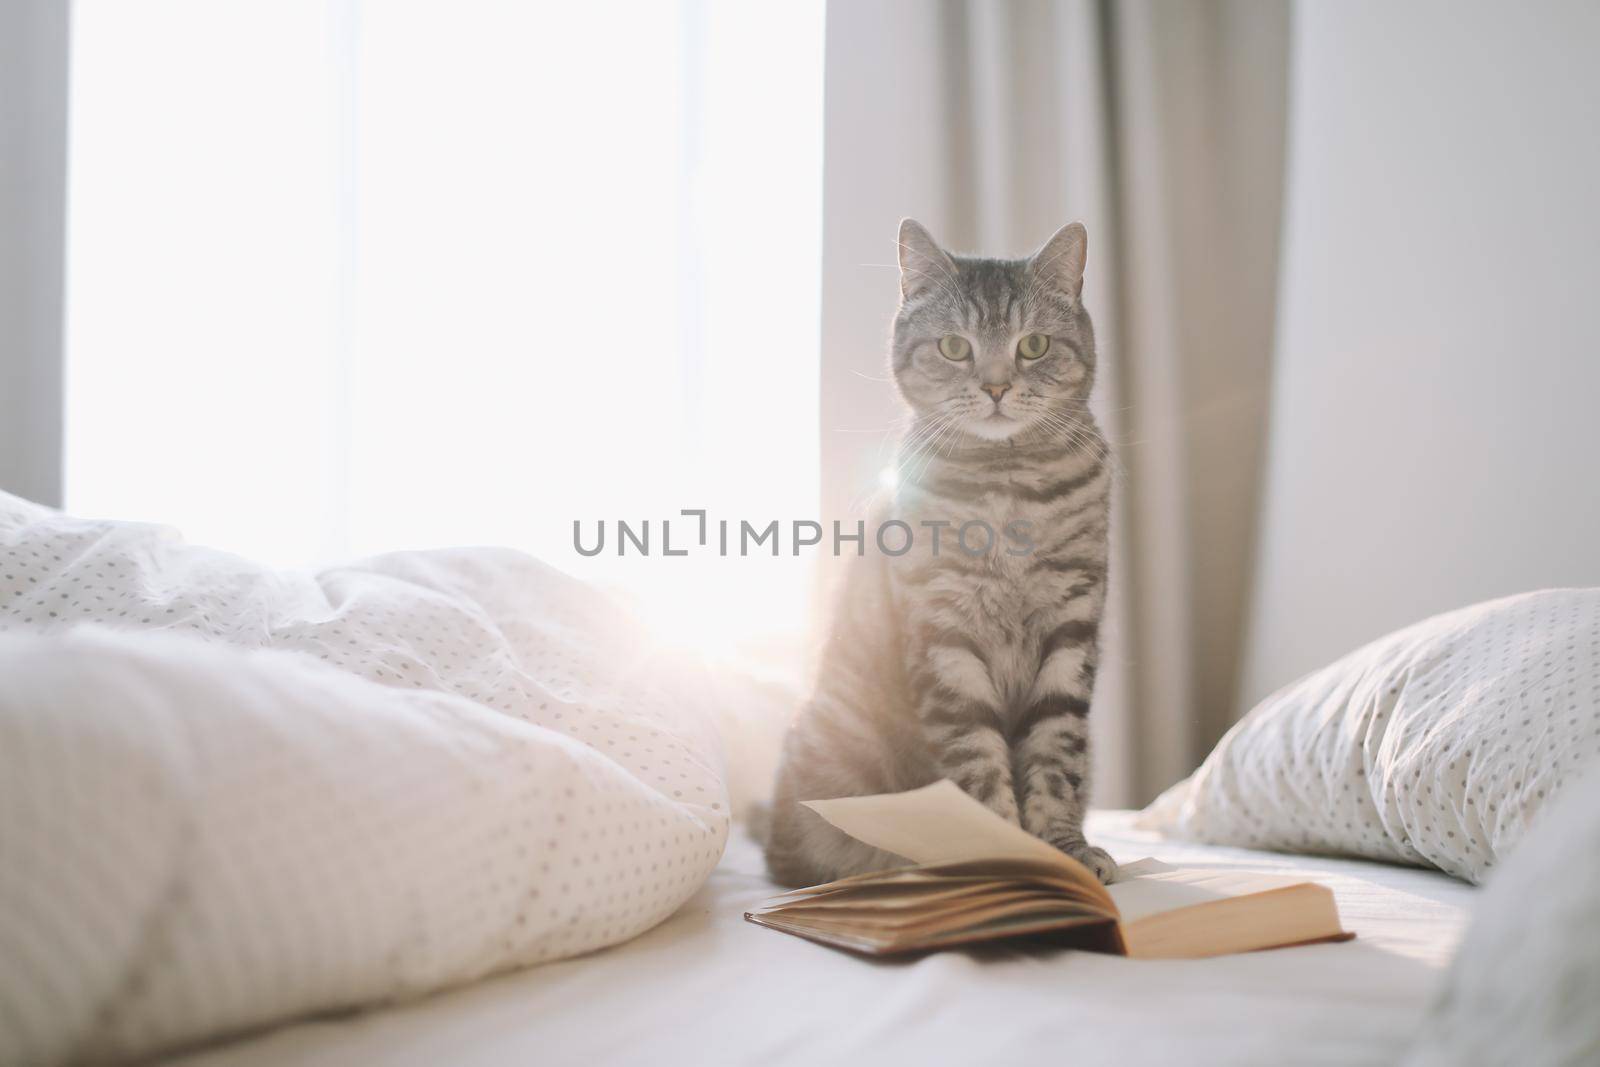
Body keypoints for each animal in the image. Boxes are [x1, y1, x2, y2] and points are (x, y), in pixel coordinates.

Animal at [761, 217, 1113, 883]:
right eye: (954, 347)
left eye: (1033, 346)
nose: (997, 386)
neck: (1007, 491)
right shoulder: (944, 633)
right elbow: (975, 761)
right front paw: (1002, 847)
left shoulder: (1071, 625)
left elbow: (1056, 757)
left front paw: (1064, 848)